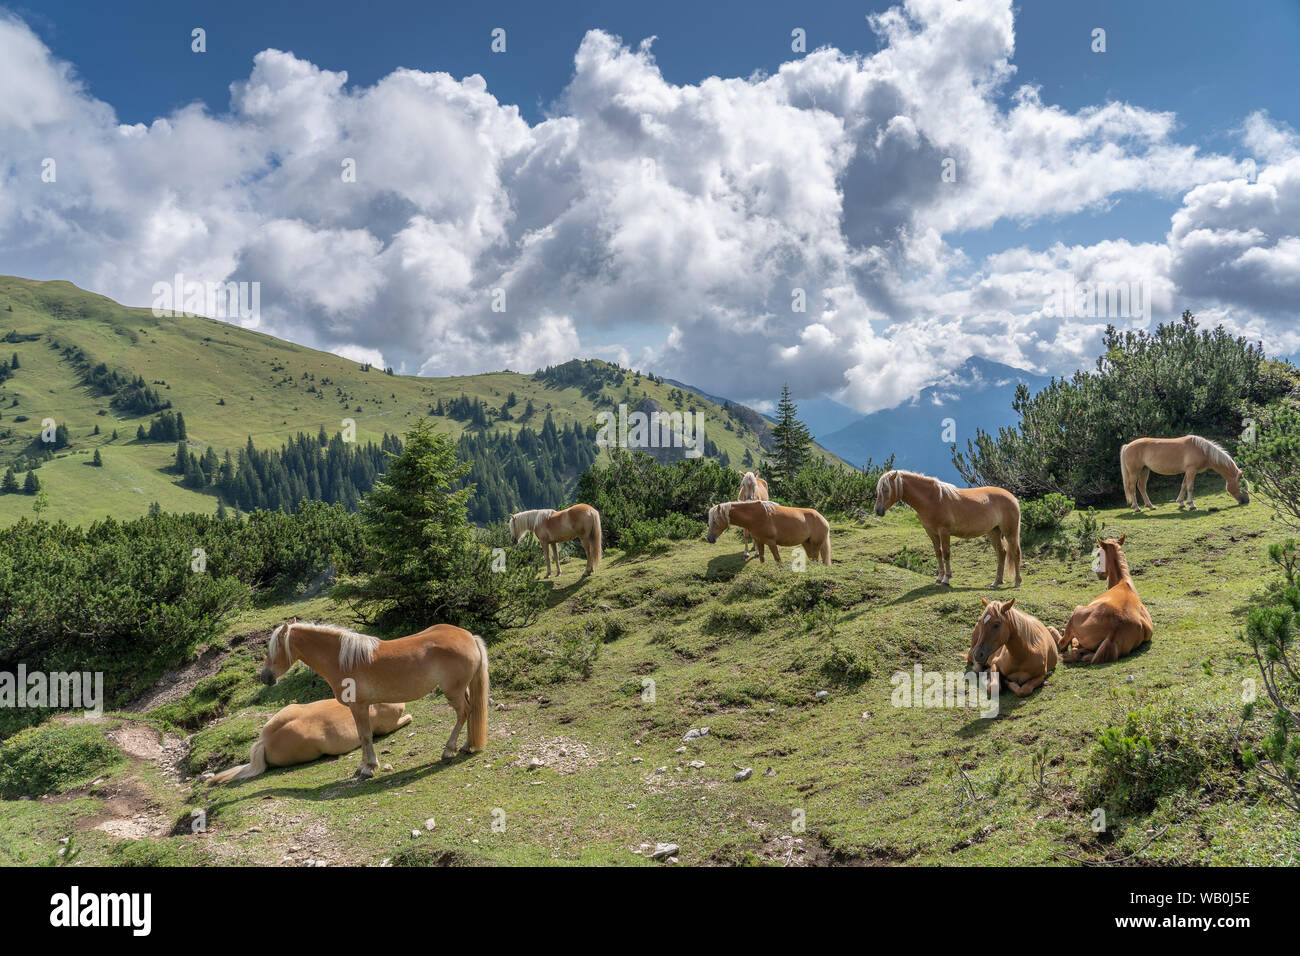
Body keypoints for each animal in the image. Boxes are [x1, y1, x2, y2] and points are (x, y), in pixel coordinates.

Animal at [258, 618, 489, 778]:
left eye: (274, 649)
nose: (265, 677)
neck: (342, 660)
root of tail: (469, 636)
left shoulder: (359, 707)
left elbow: (366, 736)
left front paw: (369, 768)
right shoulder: (356, 709)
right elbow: (361, 736)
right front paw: (362, 766)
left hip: (453, 692)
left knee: (464, 713)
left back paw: (449, 750)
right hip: (462, 689)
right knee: (470, 712)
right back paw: (467, 746)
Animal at [874, 469, 1022, 587]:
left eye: (886, 489)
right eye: (878, 490)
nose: (878, 511)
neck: (932, 499)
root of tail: (1012, 497)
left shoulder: (944, 532)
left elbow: (946, 553)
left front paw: (946, 579)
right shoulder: (931, 533)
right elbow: (938, 553)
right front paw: (939, 578)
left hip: (1010, 532)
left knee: (1015, 552)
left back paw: (1017, 582)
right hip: (994, 532)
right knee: (1002, 553)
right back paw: (997, 582)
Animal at [1057, 534, 1153, 664]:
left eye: (1099, 553)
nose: (1098, 573)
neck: (1123, 583)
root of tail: (1114, 630)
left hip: (1077, 611)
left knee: (1064, 643)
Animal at [1120, 435, 1249, 511]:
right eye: (1242, 485)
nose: (1246, 501)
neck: (1202, 449)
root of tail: (1127, 446)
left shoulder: (1188, 471)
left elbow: (1184, 485)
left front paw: (1181, 503)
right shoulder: (1191, 470)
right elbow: (1190, 487)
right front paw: (1191, 505)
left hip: (1144, 470)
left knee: (1141, 486)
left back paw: (1150, 506)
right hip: (1134, 472)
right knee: (1132, 487)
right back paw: (1137, 508)